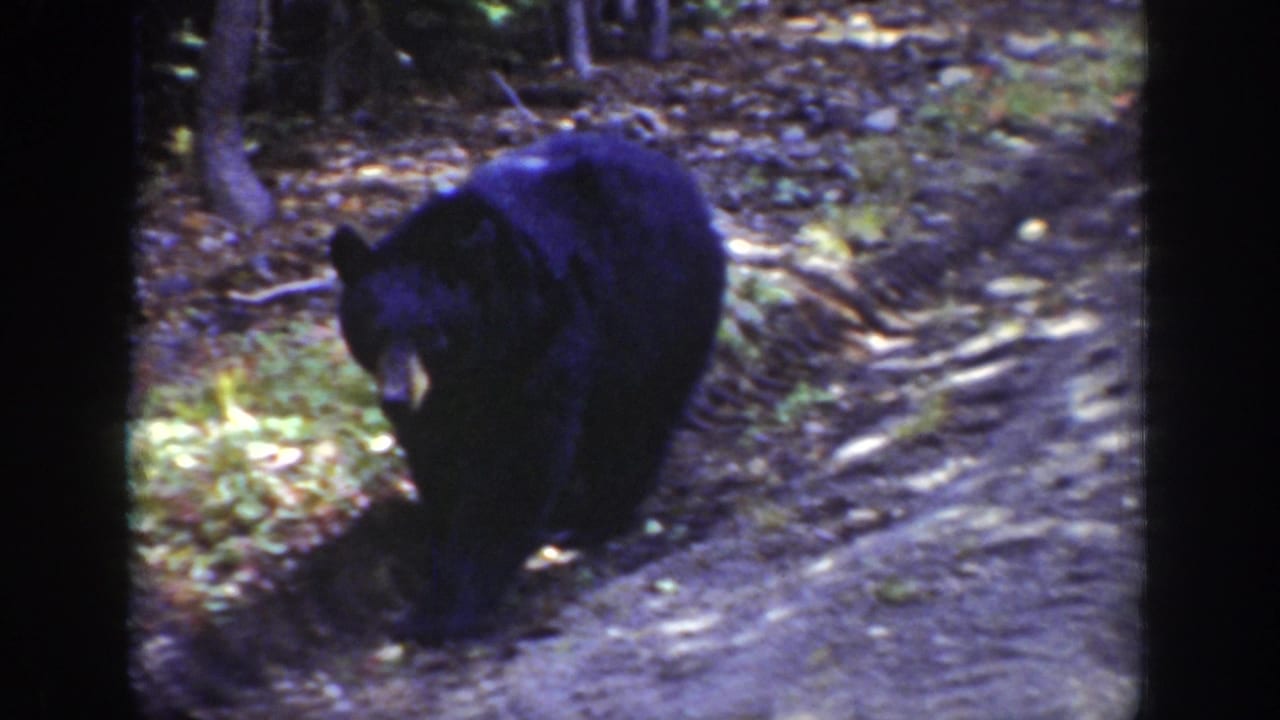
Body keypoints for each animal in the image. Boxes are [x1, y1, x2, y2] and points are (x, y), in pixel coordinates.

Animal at [329, 133, 725, 642]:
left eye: (429, 334)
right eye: (373, 332)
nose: (396, 398)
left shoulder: (540, 345)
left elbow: (515, 467)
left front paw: (442, 609)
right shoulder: (439, 403)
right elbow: (439, 465)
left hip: (659, 317)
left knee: (634, 424)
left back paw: (593, 520)